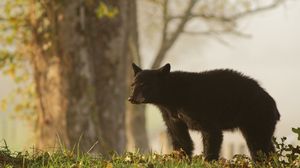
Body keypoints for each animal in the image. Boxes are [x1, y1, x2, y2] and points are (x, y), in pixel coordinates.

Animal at [127, 63, 280, 161]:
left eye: (145, 84)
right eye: (133, 84)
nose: (131, 98)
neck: (171, 97)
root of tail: (273, 105)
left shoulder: (199, 110)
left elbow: (212, 133)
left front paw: (208, 160)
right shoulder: (171, 116)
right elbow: (181, 139)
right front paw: (179, 159)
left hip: (257, 117)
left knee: (259, 146)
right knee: (264, 146)